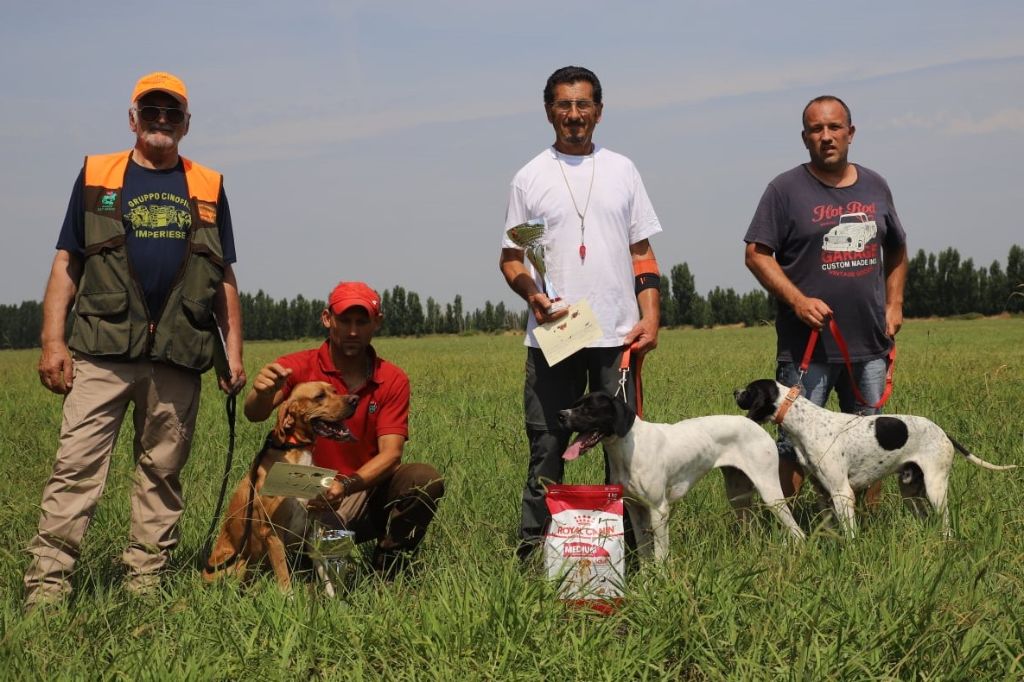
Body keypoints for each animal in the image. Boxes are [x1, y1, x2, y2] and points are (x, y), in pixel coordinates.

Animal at [201, 378, 358, 585]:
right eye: (319, 396)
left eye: (335, 391)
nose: (355, 399)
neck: (295, 449)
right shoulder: (272, 532)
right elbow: (284, 578)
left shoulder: (312, 529)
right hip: (238, 564)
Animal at [557, 391, 802, 561]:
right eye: (576, 404)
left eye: (589, 409)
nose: (560, 415)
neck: (627, 448)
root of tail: (752, 424)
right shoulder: (635, 509)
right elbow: (645, 553)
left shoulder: (659, 510)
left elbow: (660, 555)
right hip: (737, 495)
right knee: (751, 528)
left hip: (770, 493)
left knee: (797, 532)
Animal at [737, 378, 1015, 532]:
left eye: (749, 391)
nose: (734, 392)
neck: (806, 423)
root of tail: (942, 431)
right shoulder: (823, 492)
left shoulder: (842, 493)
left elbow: (850, 535)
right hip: (910, 492)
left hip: (935, 489)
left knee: (945, 522)